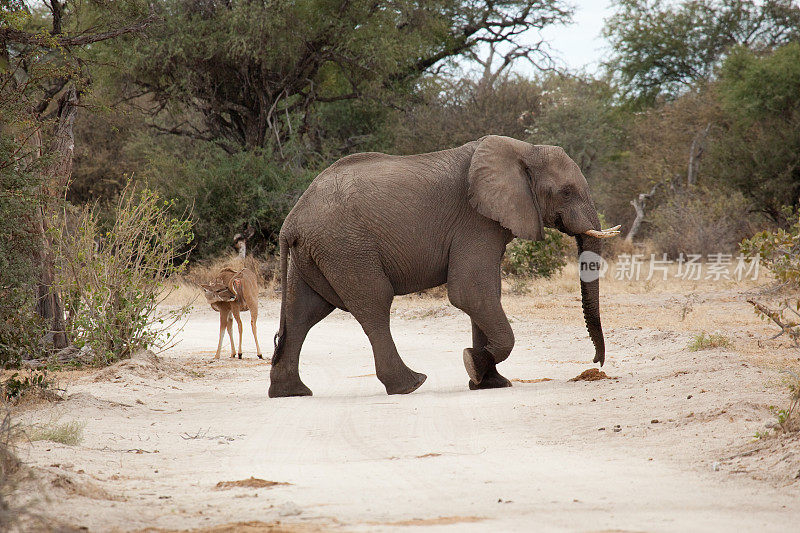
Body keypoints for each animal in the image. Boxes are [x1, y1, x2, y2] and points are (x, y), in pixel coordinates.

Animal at [268, 135, 620, 396]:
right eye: (566, 192)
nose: (597, 363)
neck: (523, 150)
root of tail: (291, 221)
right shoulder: (475, 221)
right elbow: (470, 292)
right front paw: (473, 364)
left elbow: (486, 294)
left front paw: (489, 383)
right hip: (346, 248)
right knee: (374, 304)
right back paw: (410, 385)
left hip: (316, 253)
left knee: (303, 313)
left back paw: (291, 392)